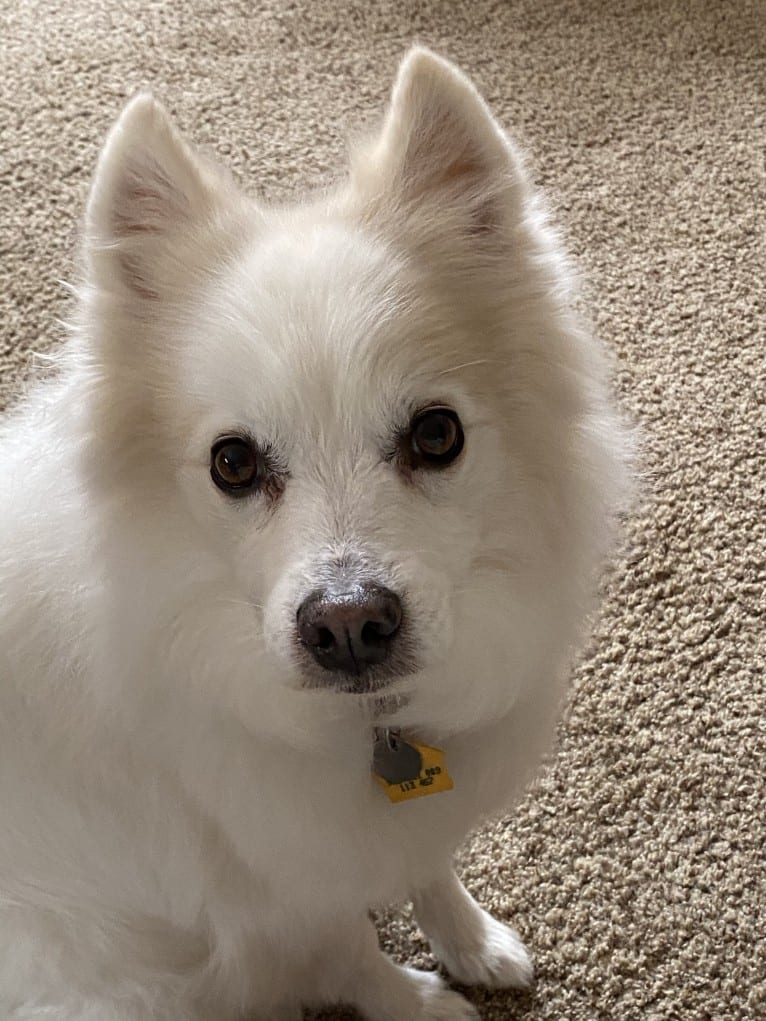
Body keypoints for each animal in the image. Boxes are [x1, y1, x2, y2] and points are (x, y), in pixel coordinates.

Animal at [0, 47, 629, 1021]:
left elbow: (427, 862)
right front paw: (419, 1001)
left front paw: (472, 942)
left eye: (437, 434)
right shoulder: (276, 898)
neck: (365, 726)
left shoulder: (382, 824)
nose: (349, 623)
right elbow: (350, 952)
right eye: (232, 462)